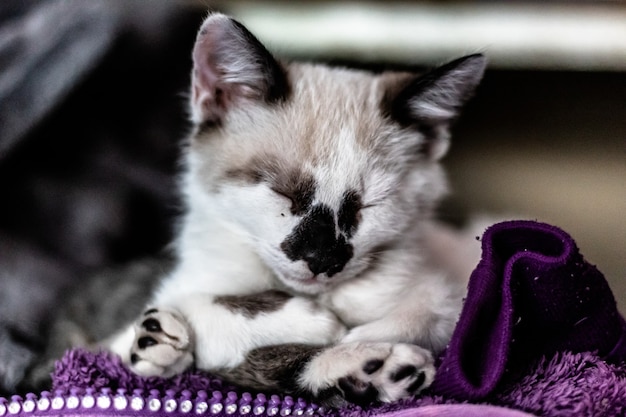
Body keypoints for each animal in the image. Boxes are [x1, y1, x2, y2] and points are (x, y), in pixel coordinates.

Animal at [107, 13, 486, 406]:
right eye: (282, 192)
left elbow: (414, 318)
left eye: (368, 205)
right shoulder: (124, 333)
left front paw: (355, 345)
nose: (321, 260)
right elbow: (194, 306)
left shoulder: (444, 297)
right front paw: (319, 326)